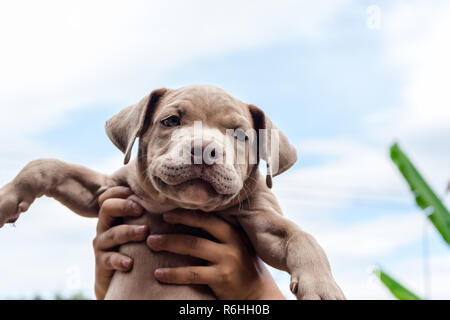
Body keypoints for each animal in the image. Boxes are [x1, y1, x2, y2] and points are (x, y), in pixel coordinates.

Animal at [0, 85, 344, 300]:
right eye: (171, 121)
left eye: (240, 135)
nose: (204, 149)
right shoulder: (107, 191)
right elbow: (47, 165)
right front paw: (7, 200)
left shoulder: (261, 219)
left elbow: (301, 237)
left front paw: (322, 288)